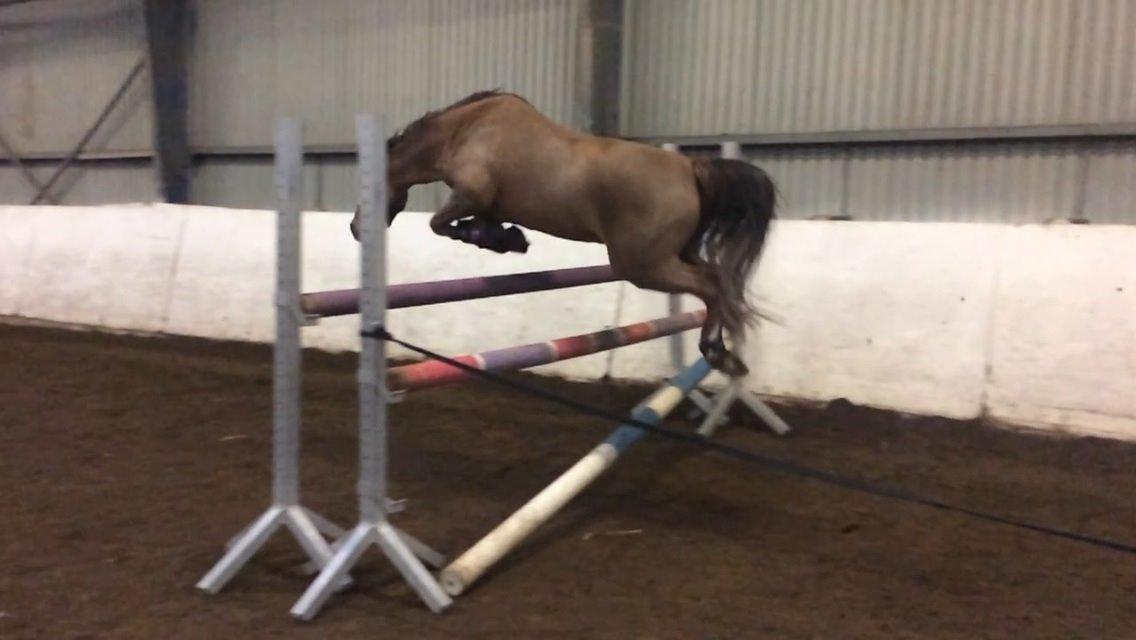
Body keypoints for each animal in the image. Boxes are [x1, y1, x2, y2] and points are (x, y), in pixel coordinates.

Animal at [350, 90, 776, 377]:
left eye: (368, 186)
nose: (355, 229)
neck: (464, 131)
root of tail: (691, 169)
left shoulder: (471, 193)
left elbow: (439, 225)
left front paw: (498, 239)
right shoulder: (486, 205)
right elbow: (483, 227)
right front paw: (508, 240)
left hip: (643, 266)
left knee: (712, 284)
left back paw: (716, 352)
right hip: (676, 255)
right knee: (718, 281)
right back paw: (725, 354)